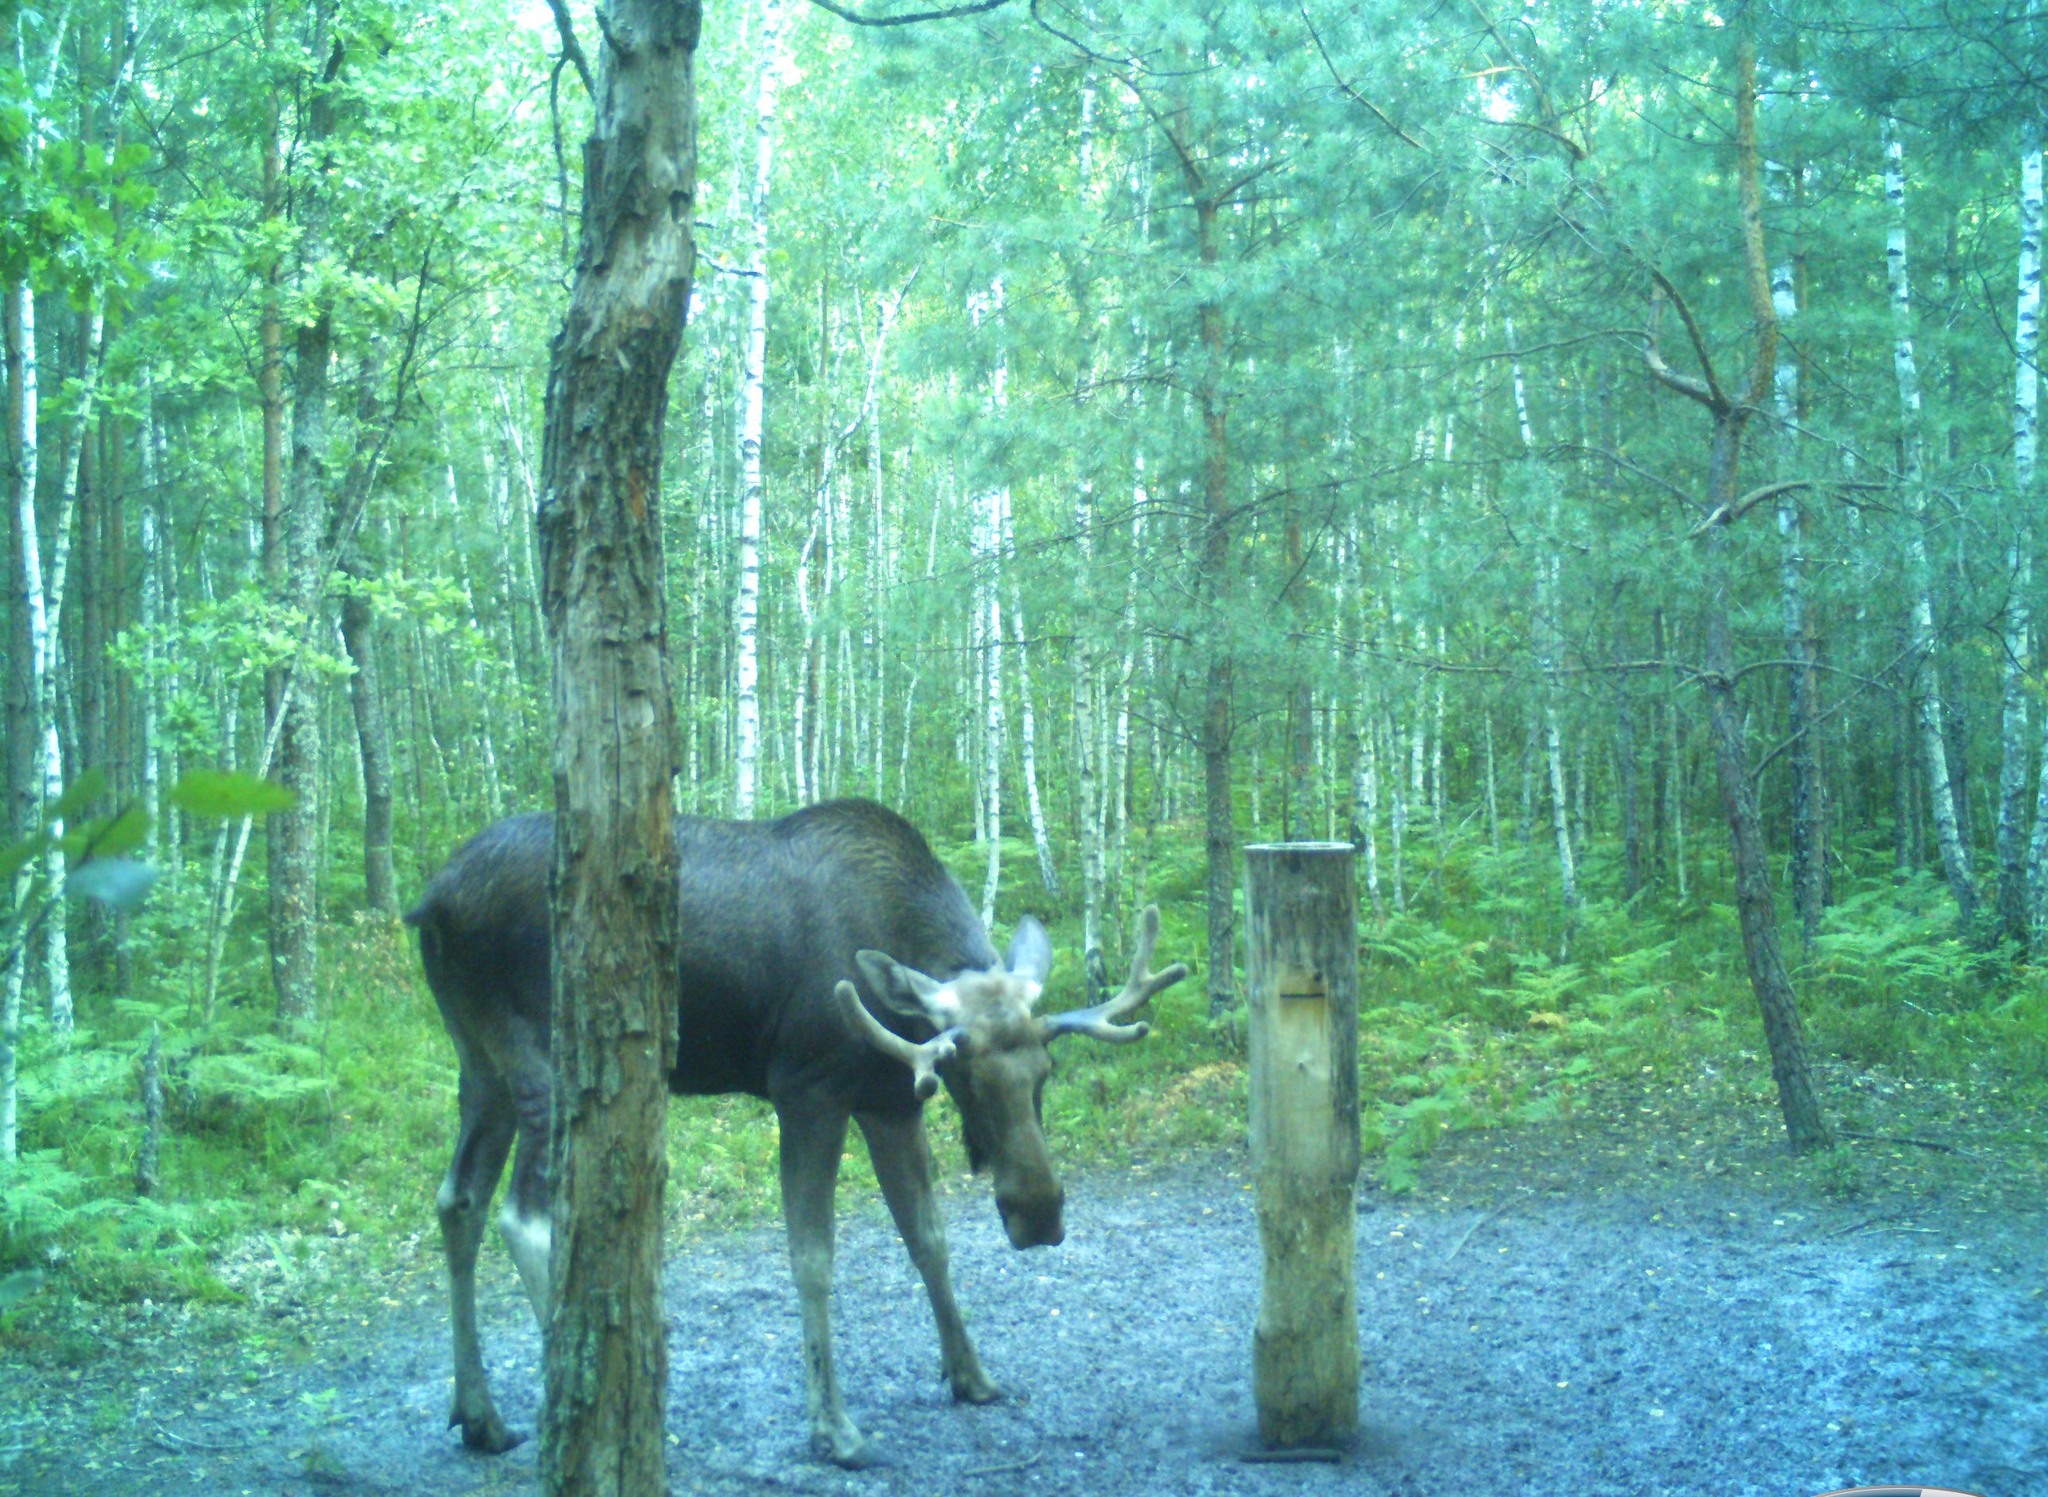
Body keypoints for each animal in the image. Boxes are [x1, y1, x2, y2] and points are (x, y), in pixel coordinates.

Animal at [407, 802, 1187, 1466]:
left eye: (1046, 1069)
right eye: (959, 1072)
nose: (1039, 1214)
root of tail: (432, 900)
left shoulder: (888, 1103)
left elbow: (929, 1240)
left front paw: (972, 1374)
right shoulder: (808, 1090)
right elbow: (813, 1256)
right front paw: (834, 1428)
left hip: (477, 1059)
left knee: (458, 1200)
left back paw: (480, 1415)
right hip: (544, 1054)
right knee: (523, 1215)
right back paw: (577, 1403)